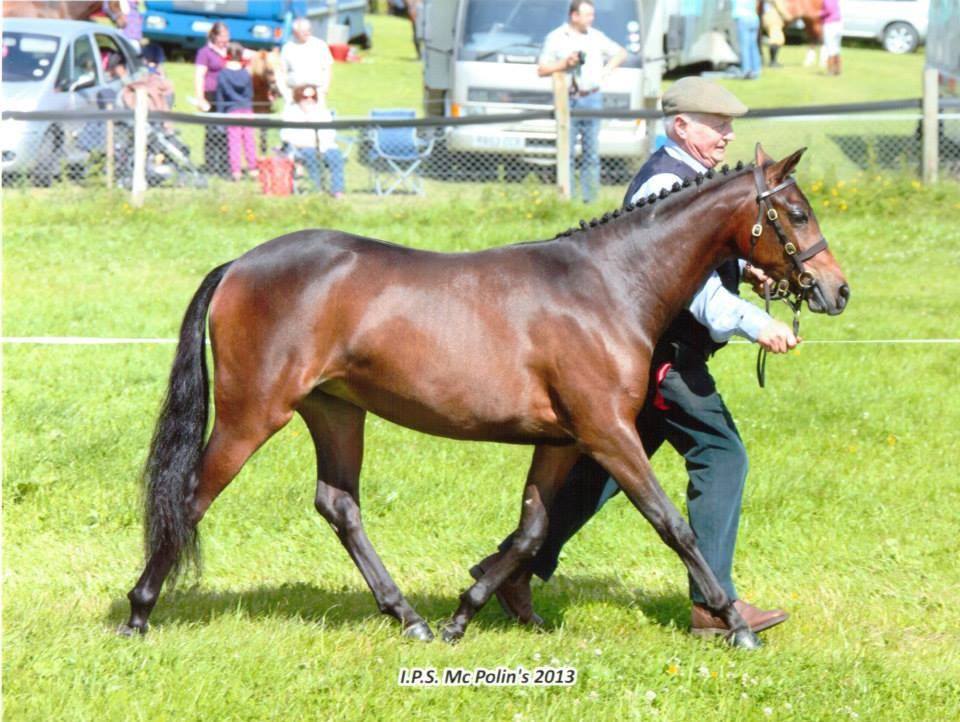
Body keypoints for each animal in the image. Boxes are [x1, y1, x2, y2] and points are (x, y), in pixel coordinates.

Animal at [119, 145, 849, 649]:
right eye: (794, 211)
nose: (835, 290)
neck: (608, 286)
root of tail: (238, 266)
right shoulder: (609, 433)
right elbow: (674, 524)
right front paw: (735, 623)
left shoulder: (562, 442)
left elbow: (530, 533)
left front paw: (464, 615)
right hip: (251, 415)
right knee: (192, 498)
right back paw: (139, 612)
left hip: (337, 411)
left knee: (338, 505)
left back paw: (409, 618)